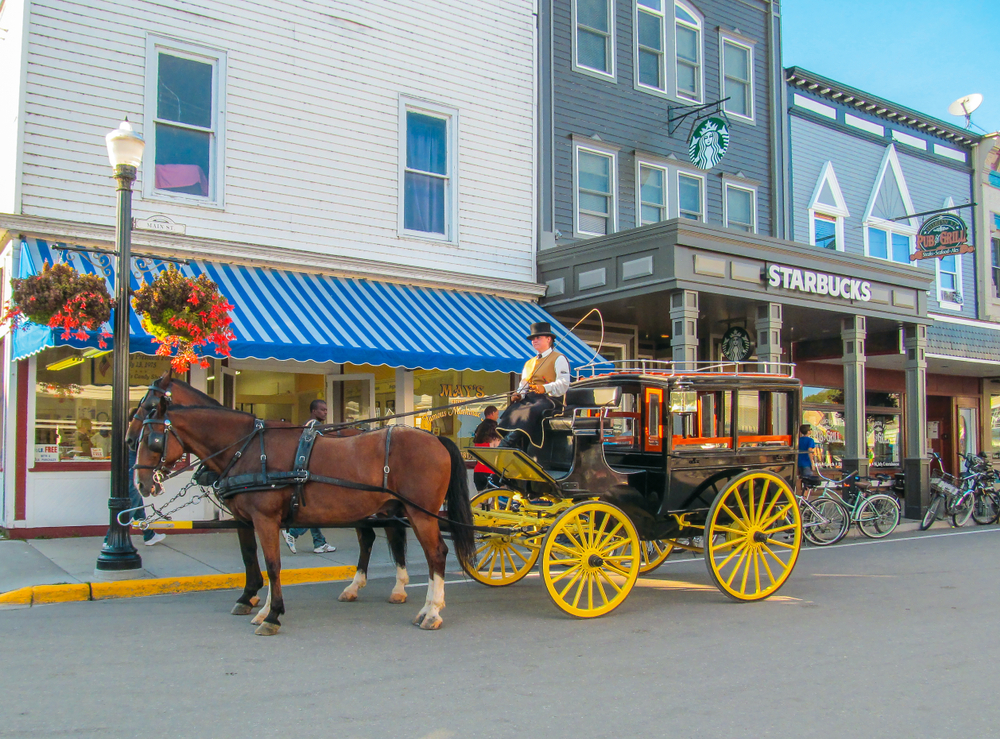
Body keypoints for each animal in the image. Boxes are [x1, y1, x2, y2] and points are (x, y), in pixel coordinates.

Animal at [132, 398, 476, 632]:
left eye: (152, 439)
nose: (142, 483)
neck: (248, 450)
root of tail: (435, 438)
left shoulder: (265, 518)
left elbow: (272, 565)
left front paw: (271, 615)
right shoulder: (252, 519)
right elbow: (260, 561)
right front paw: (260, 607)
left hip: (421, 513)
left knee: (436, 554)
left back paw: (432, 611)